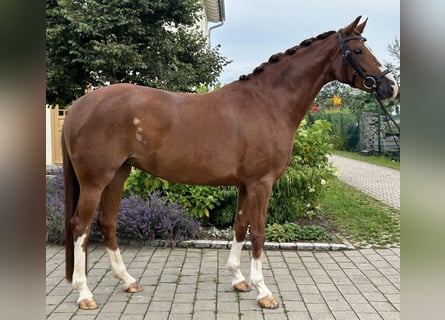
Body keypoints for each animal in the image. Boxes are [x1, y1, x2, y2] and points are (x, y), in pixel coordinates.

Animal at [61, 16, 396, 310]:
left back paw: (128, 280)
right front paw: (264, 292)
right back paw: (84, 294)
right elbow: (258, 232)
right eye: (358, 51)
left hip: (118, 174)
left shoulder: (246, 185)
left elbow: (239, 227)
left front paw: (239, 280)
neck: (267, 103)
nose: (390, 86)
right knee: (80, 227)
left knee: (107, 223)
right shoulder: (261, 184)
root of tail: (78, 106)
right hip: (95, 181)